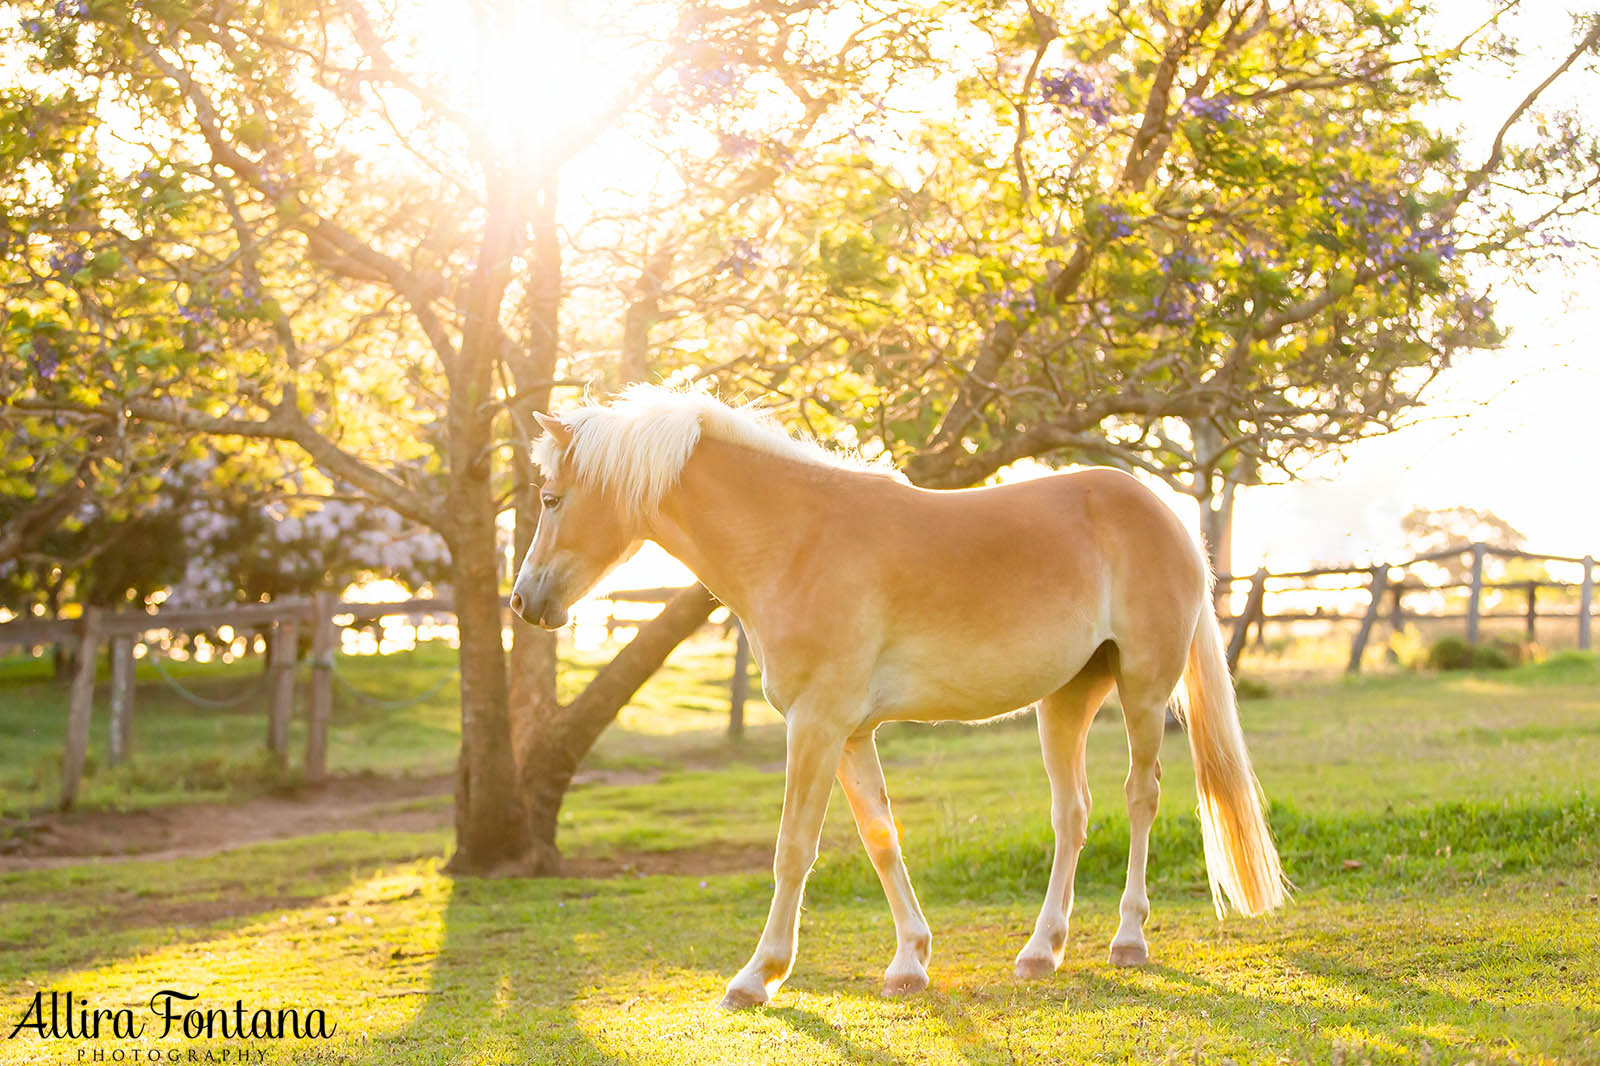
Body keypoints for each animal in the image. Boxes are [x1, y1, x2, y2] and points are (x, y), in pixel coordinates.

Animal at [512, 384, 1286, 1005]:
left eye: (551, 499)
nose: (524, 601)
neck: (796, 541)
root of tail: (1164, 513)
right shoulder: (851, 732)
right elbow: (881, 840)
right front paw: (909, 963)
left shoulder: (816, 726)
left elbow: (793, 848)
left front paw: (758, 976)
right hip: (1064, 701)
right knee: (1073, 814)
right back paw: (1041, 952)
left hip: (1143, 690)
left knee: (1139, 797)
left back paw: (1128, 939)